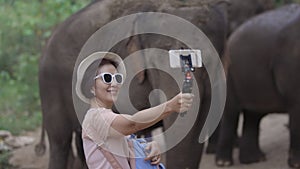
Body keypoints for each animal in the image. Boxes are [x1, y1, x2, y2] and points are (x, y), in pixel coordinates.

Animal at [216, 3, 300, 168]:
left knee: (253, 115)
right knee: (231, 113)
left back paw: (255, 159)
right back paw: (224, 162)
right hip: (230, 75)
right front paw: (296, 164)